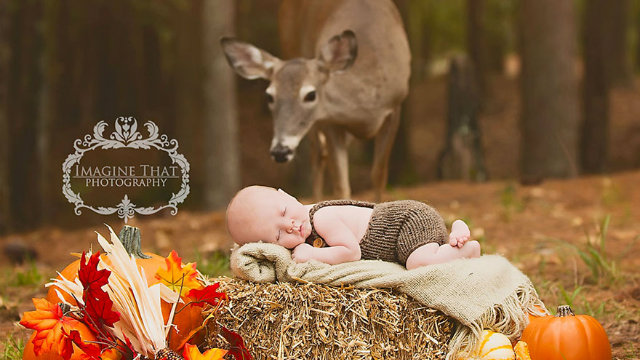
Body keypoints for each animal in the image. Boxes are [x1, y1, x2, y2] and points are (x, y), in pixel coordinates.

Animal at [220, 0, 410, 200]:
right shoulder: (329, 121)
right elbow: (341, 185)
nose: (280, 151)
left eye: (310, 94)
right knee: (317, 155)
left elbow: (379, 175)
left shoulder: (395, 107)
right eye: (269, 96)